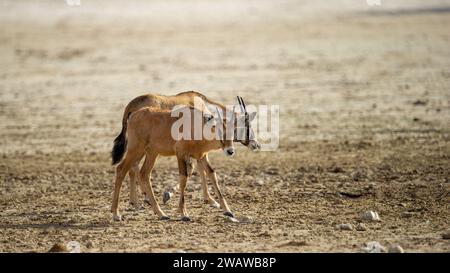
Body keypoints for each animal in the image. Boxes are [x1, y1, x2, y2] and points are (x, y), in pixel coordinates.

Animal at [111, 91, 260, 208]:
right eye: (246, 125)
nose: (256, 145)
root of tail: (130, 107)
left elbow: (199, 169)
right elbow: (198, 169)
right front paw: (210, 200)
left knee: (133, 167)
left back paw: (135, 201)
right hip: (140, 147)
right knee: (133, 167)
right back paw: (142, 200)